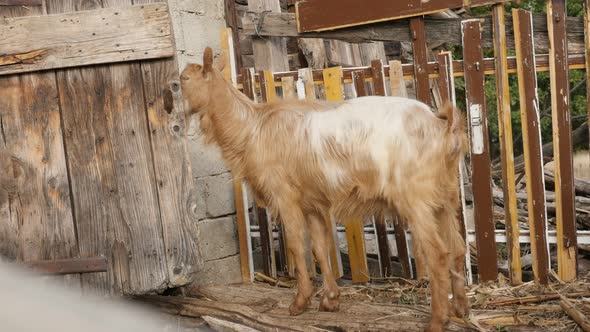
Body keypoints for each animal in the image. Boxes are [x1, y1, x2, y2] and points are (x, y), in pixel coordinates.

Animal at [183, 47, 470, 332]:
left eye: (182, 80)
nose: (171, 107)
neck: (253, 129)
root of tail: (442, 127)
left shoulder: (285, 196)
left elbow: (297, 245)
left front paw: (299, 302)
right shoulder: (312, 203)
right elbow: (320, 248)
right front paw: (330, 300)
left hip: (416, 199)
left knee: (437, 254)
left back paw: (437, 320)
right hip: (444, 197)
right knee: (457, 248)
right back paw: (461, 310)